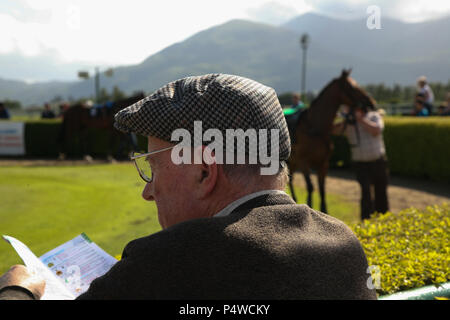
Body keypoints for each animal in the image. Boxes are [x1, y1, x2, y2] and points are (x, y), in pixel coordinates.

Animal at [288, 70, 376, 215]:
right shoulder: (303, 161)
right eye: (353, 87)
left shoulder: (324, 163)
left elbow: (322, 189)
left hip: (293, 162)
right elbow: (310, 187)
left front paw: (324, 211)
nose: (371, 102)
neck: (315, 128)